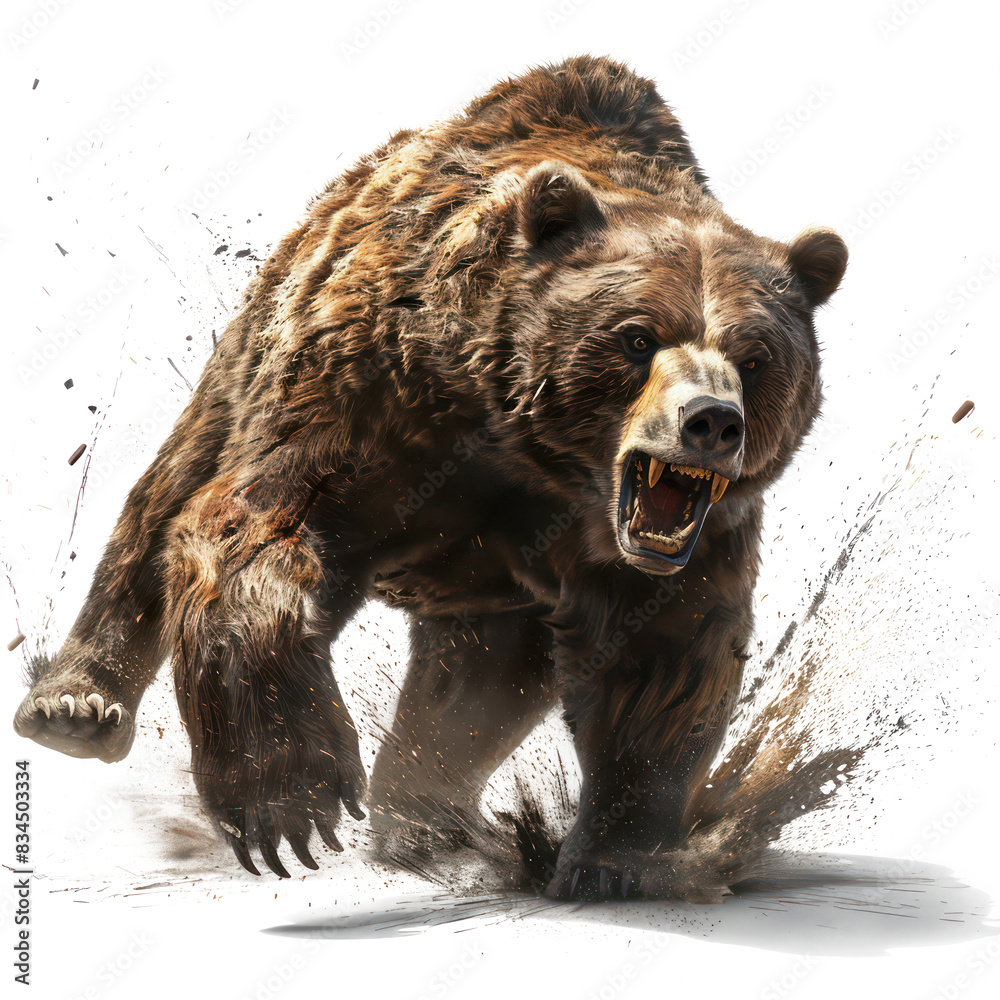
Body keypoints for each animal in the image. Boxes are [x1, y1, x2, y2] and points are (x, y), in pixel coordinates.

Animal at [13, 54, 847, 900]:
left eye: (756, 358)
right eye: (637, 336)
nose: (710, 420)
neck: (532, 456)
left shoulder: (657, 544)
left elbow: (663, 654)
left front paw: (623, 862)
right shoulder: (374, 404)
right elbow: (254, 532)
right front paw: (291, 800)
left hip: (491, 596)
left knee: (472, 687)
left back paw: (424, 820)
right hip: (257, 344)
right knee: (165, 496)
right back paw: (76, 704)